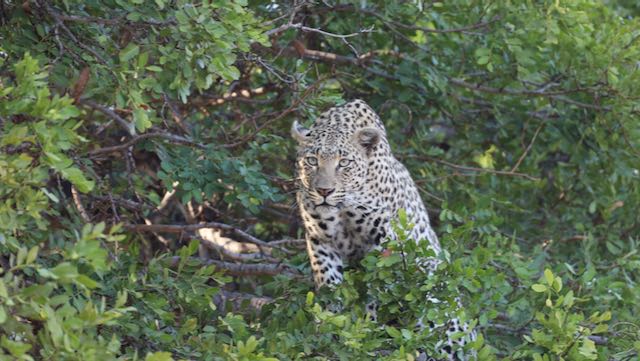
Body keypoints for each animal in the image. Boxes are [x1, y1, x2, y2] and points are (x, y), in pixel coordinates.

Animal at [290, 99, 476, 360]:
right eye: (312, 161)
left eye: (343, 163)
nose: (324, 191)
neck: (344, 207)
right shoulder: (321, 240)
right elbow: (329, 284)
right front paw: (328, 329)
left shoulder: (385, 241)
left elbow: (378, 290)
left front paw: (368, 331)